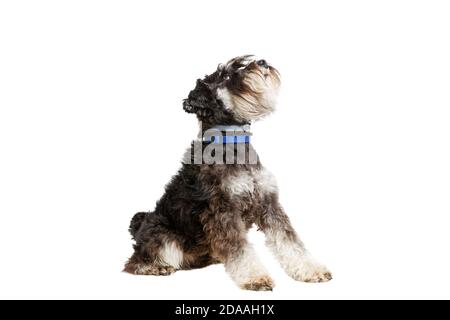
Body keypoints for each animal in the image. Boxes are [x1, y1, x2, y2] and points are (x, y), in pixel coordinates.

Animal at [125, 56, 332, 292]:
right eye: (224, 76)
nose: (263, 62)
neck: (232, 143)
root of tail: (140, 227)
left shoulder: (268, 203)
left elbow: (290, 241)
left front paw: (312, 270)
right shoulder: (222, 210)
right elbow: (239, 249)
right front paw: (255, 278)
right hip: (163, 235)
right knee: (137, 260)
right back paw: (155, 267)